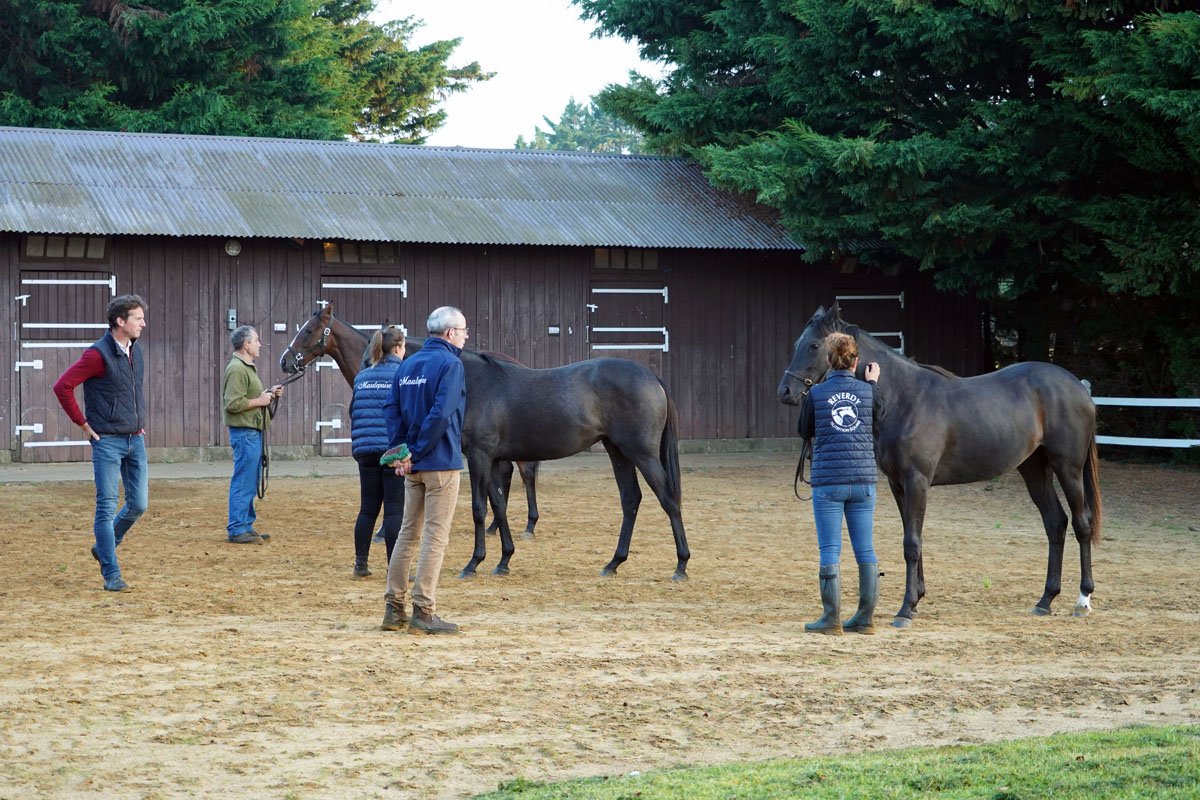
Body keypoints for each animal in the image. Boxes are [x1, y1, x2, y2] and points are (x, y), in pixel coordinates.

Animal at [278, 305, 540, 537]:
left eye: (308, 330)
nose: (285, 361)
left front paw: (384, 531)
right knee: (507, 472)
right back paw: (495, 526)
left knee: (526, 472)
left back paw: (529, 525)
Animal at [778, 302, 1102, 628]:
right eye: (795, 344)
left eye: (814, 345)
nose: (785, 392)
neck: (903, 398)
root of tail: (1078, 388)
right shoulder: (898, 485)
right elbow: (912, 538)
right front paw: (916, 601)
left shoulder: (916, 481)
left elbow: (911, 543)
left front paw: (905, 609)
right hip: (1034, 469)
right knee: (1055, 523)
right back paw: (1045, 600)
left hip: (1068, 469)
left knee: (1081, 523)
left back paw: (1083, 600)